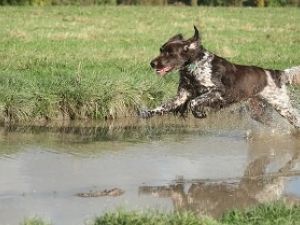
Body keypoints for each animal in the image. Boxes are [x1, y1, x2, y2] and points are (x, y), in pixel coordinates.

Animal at [141, 25, 300, 128]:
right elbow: (163, 107)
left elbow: (194, 102)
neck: (194, 66)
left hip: (282, 105)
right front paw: (146, 113)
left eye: (169, 53)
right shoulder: (182, 96)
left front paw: (199, 114)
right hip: (258, 111)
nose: (152, 63)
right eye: (161, 50)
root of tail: (277, 73)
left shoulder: (218, 91)